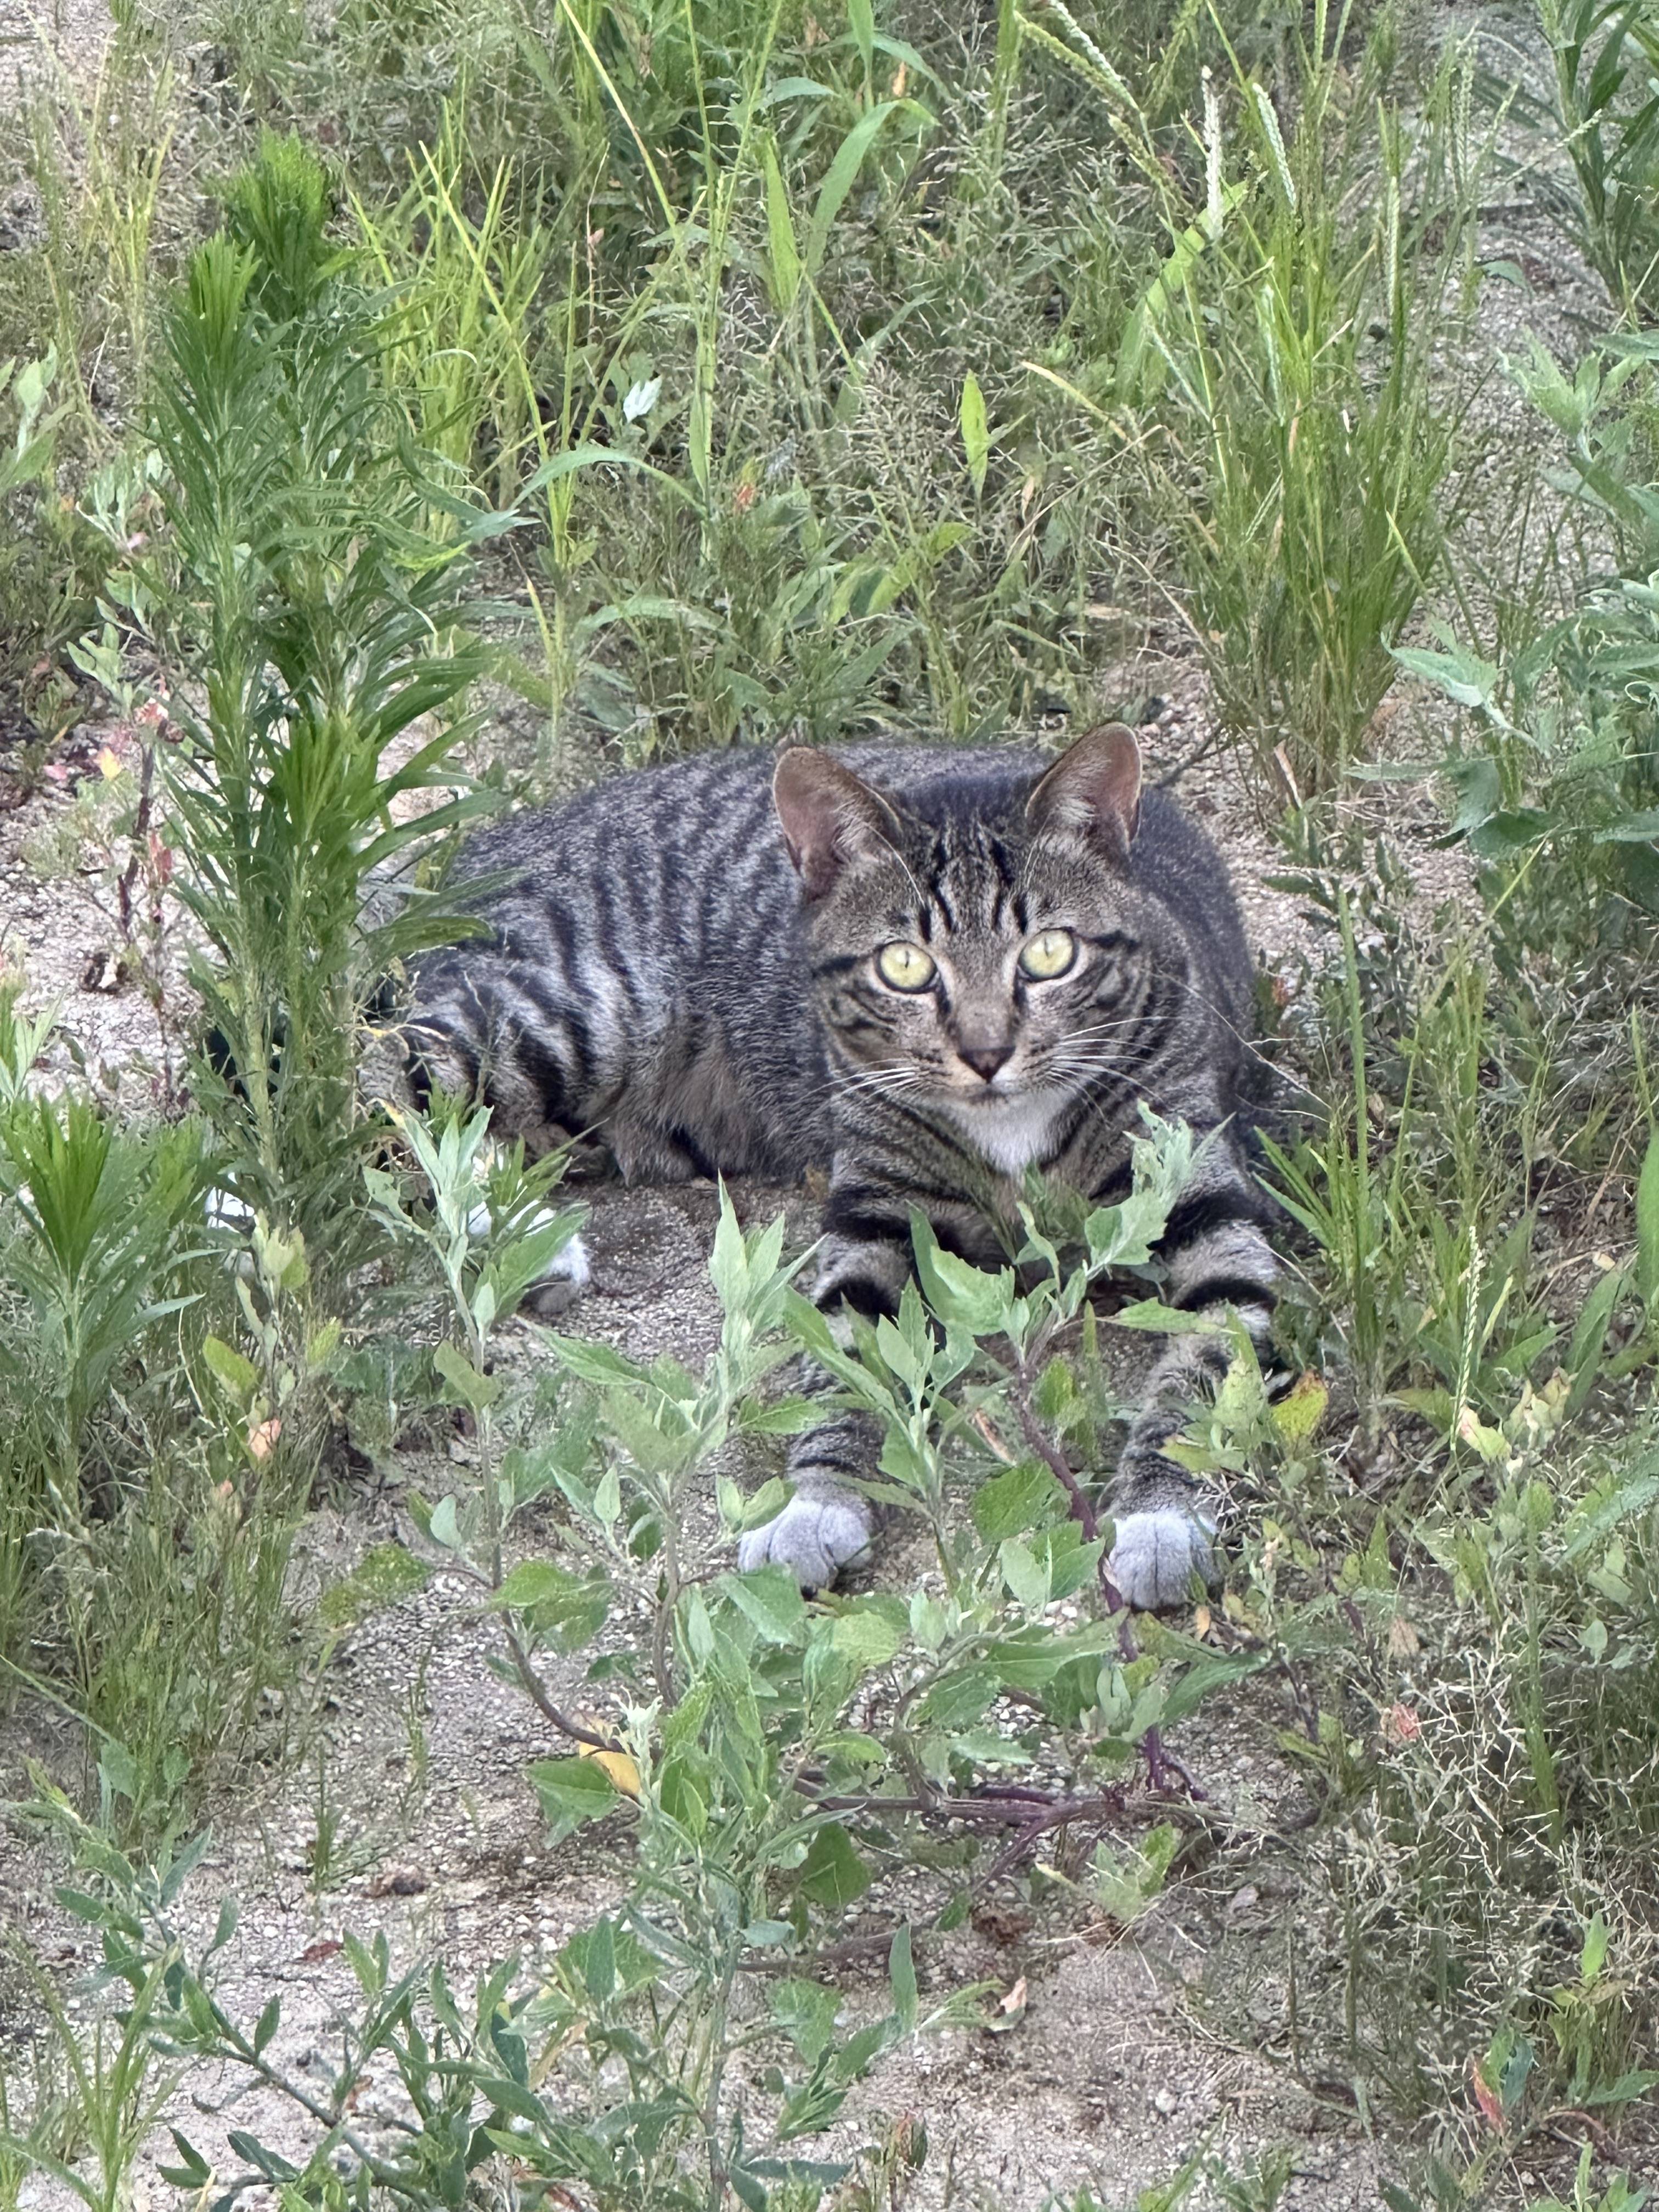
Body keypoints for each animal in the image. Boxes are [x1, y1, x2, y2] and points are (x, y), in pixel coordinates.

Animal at [409, 725, 1283, 1610]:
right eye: (904, 967)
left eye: (1048, 953)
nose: (987, 1052)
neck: (1008, 1128)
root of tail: (496, 841)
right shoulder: (880, 1211)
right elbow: (847, 1360)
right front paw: (816, 1501)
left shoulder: (1199, 1195)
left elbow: (1208, 1367)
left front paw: (1161, 1513)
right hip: (577, 1011)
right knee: (395, 1087)